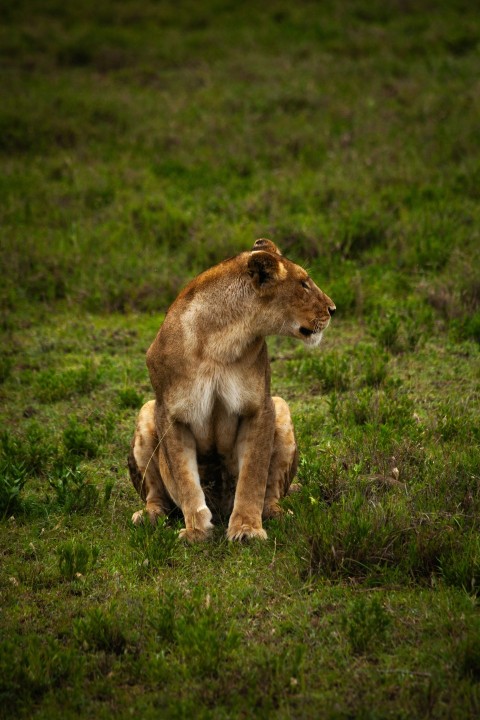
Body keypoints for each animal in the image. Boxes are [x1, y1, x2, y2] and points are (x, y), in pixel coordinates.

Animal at [128, 239, 335, 542]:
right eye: (303, 284)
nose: (333, 309)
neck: (221, 338)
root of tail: (220, 507)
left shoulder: (260, 408)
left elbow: (253, 476)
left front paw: (247, 529)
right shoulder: (170, 414)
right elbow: (185, 479)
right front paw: (196, 531)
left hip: (282, 407)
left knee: (271, 492)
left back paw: (276, 514)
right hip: (146, 413)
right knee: (156, 494)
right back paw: (149, 516)